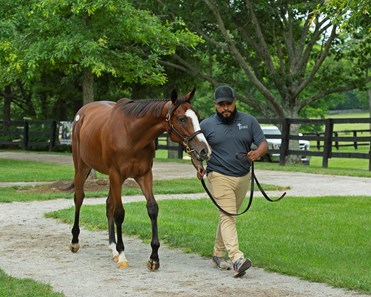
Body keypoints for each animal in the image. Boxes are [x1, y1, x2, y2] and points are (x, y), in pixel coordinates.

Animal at [68, 86, 211, 270]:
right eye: (182, 119)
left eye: (197, 116)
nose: (204, 150)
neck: (131, 134)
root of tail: (82, 113)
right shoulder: (116, 175)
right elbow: (119, 213)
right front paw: (122, 255)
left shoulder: (144, 175)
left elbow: (152, 208)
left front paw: (154, 257)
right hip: (82, 167)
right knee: (79, 198)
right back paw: (75, 241)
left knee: (108, 205)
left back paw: (112, 248)